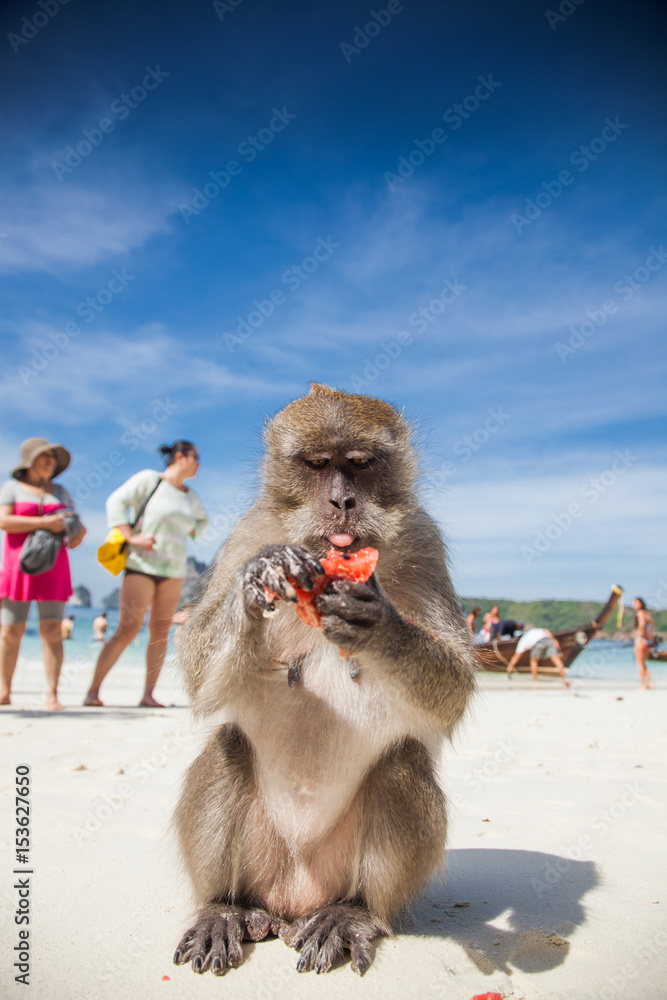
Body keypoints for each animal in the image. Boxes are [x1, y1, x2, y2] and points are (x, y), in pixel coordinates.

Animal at [173, 384, 476, 976]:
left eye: (358, 465)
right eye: (316, 465)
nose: (342, 502)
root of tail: (293, 898)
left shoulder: (424, 539)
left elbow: (455, 685)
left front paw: (381, 625)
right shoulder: (248, 531)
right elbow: (196, 668)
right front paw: (259, 577)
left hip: (339, 873)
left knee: (402, 763)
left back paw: (353, 912)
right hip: (264, 869)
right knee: (227, 746)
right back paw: (223, 906)